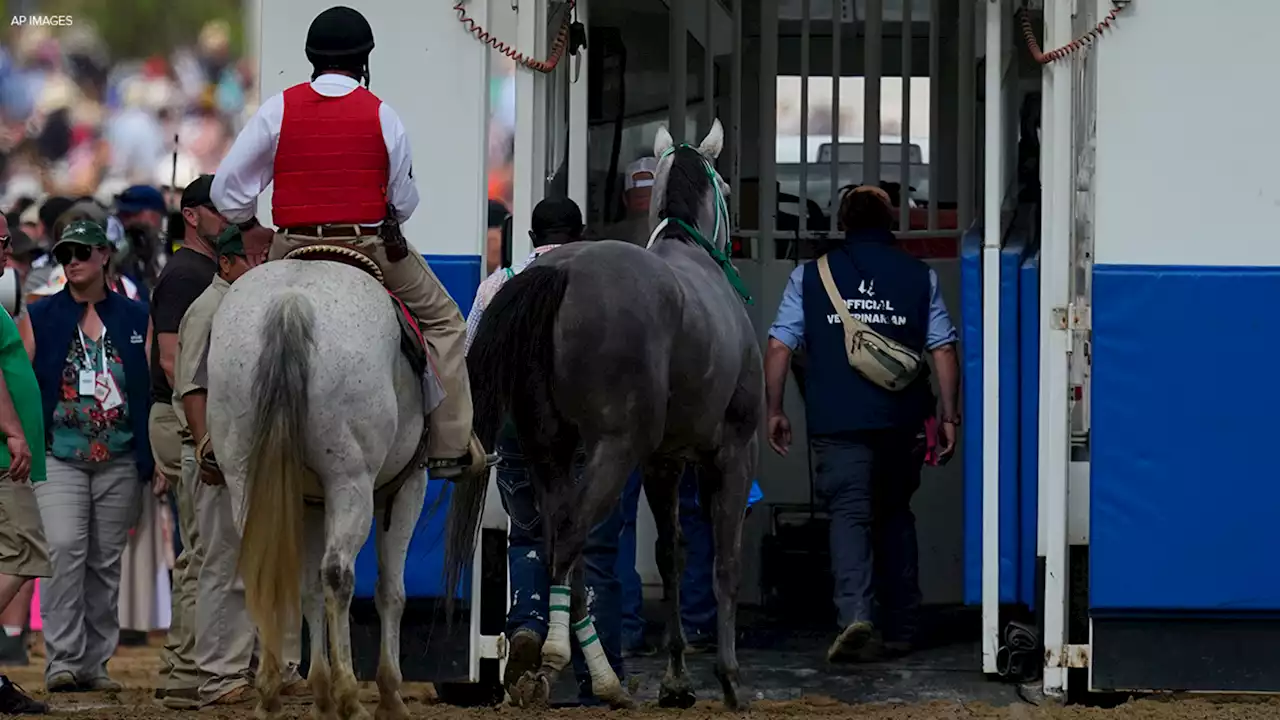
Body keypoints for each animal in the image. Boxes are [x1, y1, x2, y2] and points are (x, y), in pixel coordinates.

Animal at [207, 258, 427, 717]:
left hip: (245, 478)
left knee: (266, 568)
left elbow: (306, 588)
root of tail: (291, 302)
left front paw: (320, 691)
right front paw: (388, 694)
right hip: (351, 482)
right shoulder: (407, 486)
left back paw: (270, 692)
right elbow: (391, 591)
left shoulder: (308, 501)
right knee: (338, 574)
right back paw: (349, 696)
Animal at [445, 119, 757, 707]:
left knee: (554, 543)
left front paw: (676, 679)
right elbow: (725, 562)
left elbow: (671, 555)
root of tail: (559, 273)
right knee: (572, 534)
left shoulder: (663, 462)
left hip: (548, 450)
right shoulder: (731, 452)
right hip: (613, 450)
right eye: (727, 188)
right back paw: (557, 658)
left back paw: (590, 672)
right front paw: (729, 680)